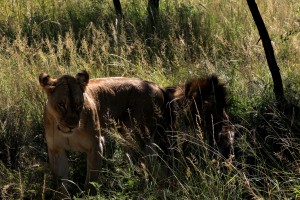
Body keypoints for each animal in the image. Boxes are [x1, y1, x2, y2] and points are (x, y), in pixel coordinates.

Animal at [38, 70, 166, 194]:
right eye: (61, 104)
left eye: (79, 104)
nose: (72, 126)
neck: (69, 134)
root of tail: (156, 86)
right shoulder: (56, 150)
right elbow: (60, 184)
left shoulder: (95, 146)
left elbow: (91, 181)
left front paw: (89, 196)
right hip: (127, 135)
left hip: (140, 137)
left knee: (151, 164)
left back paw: (149, 186)